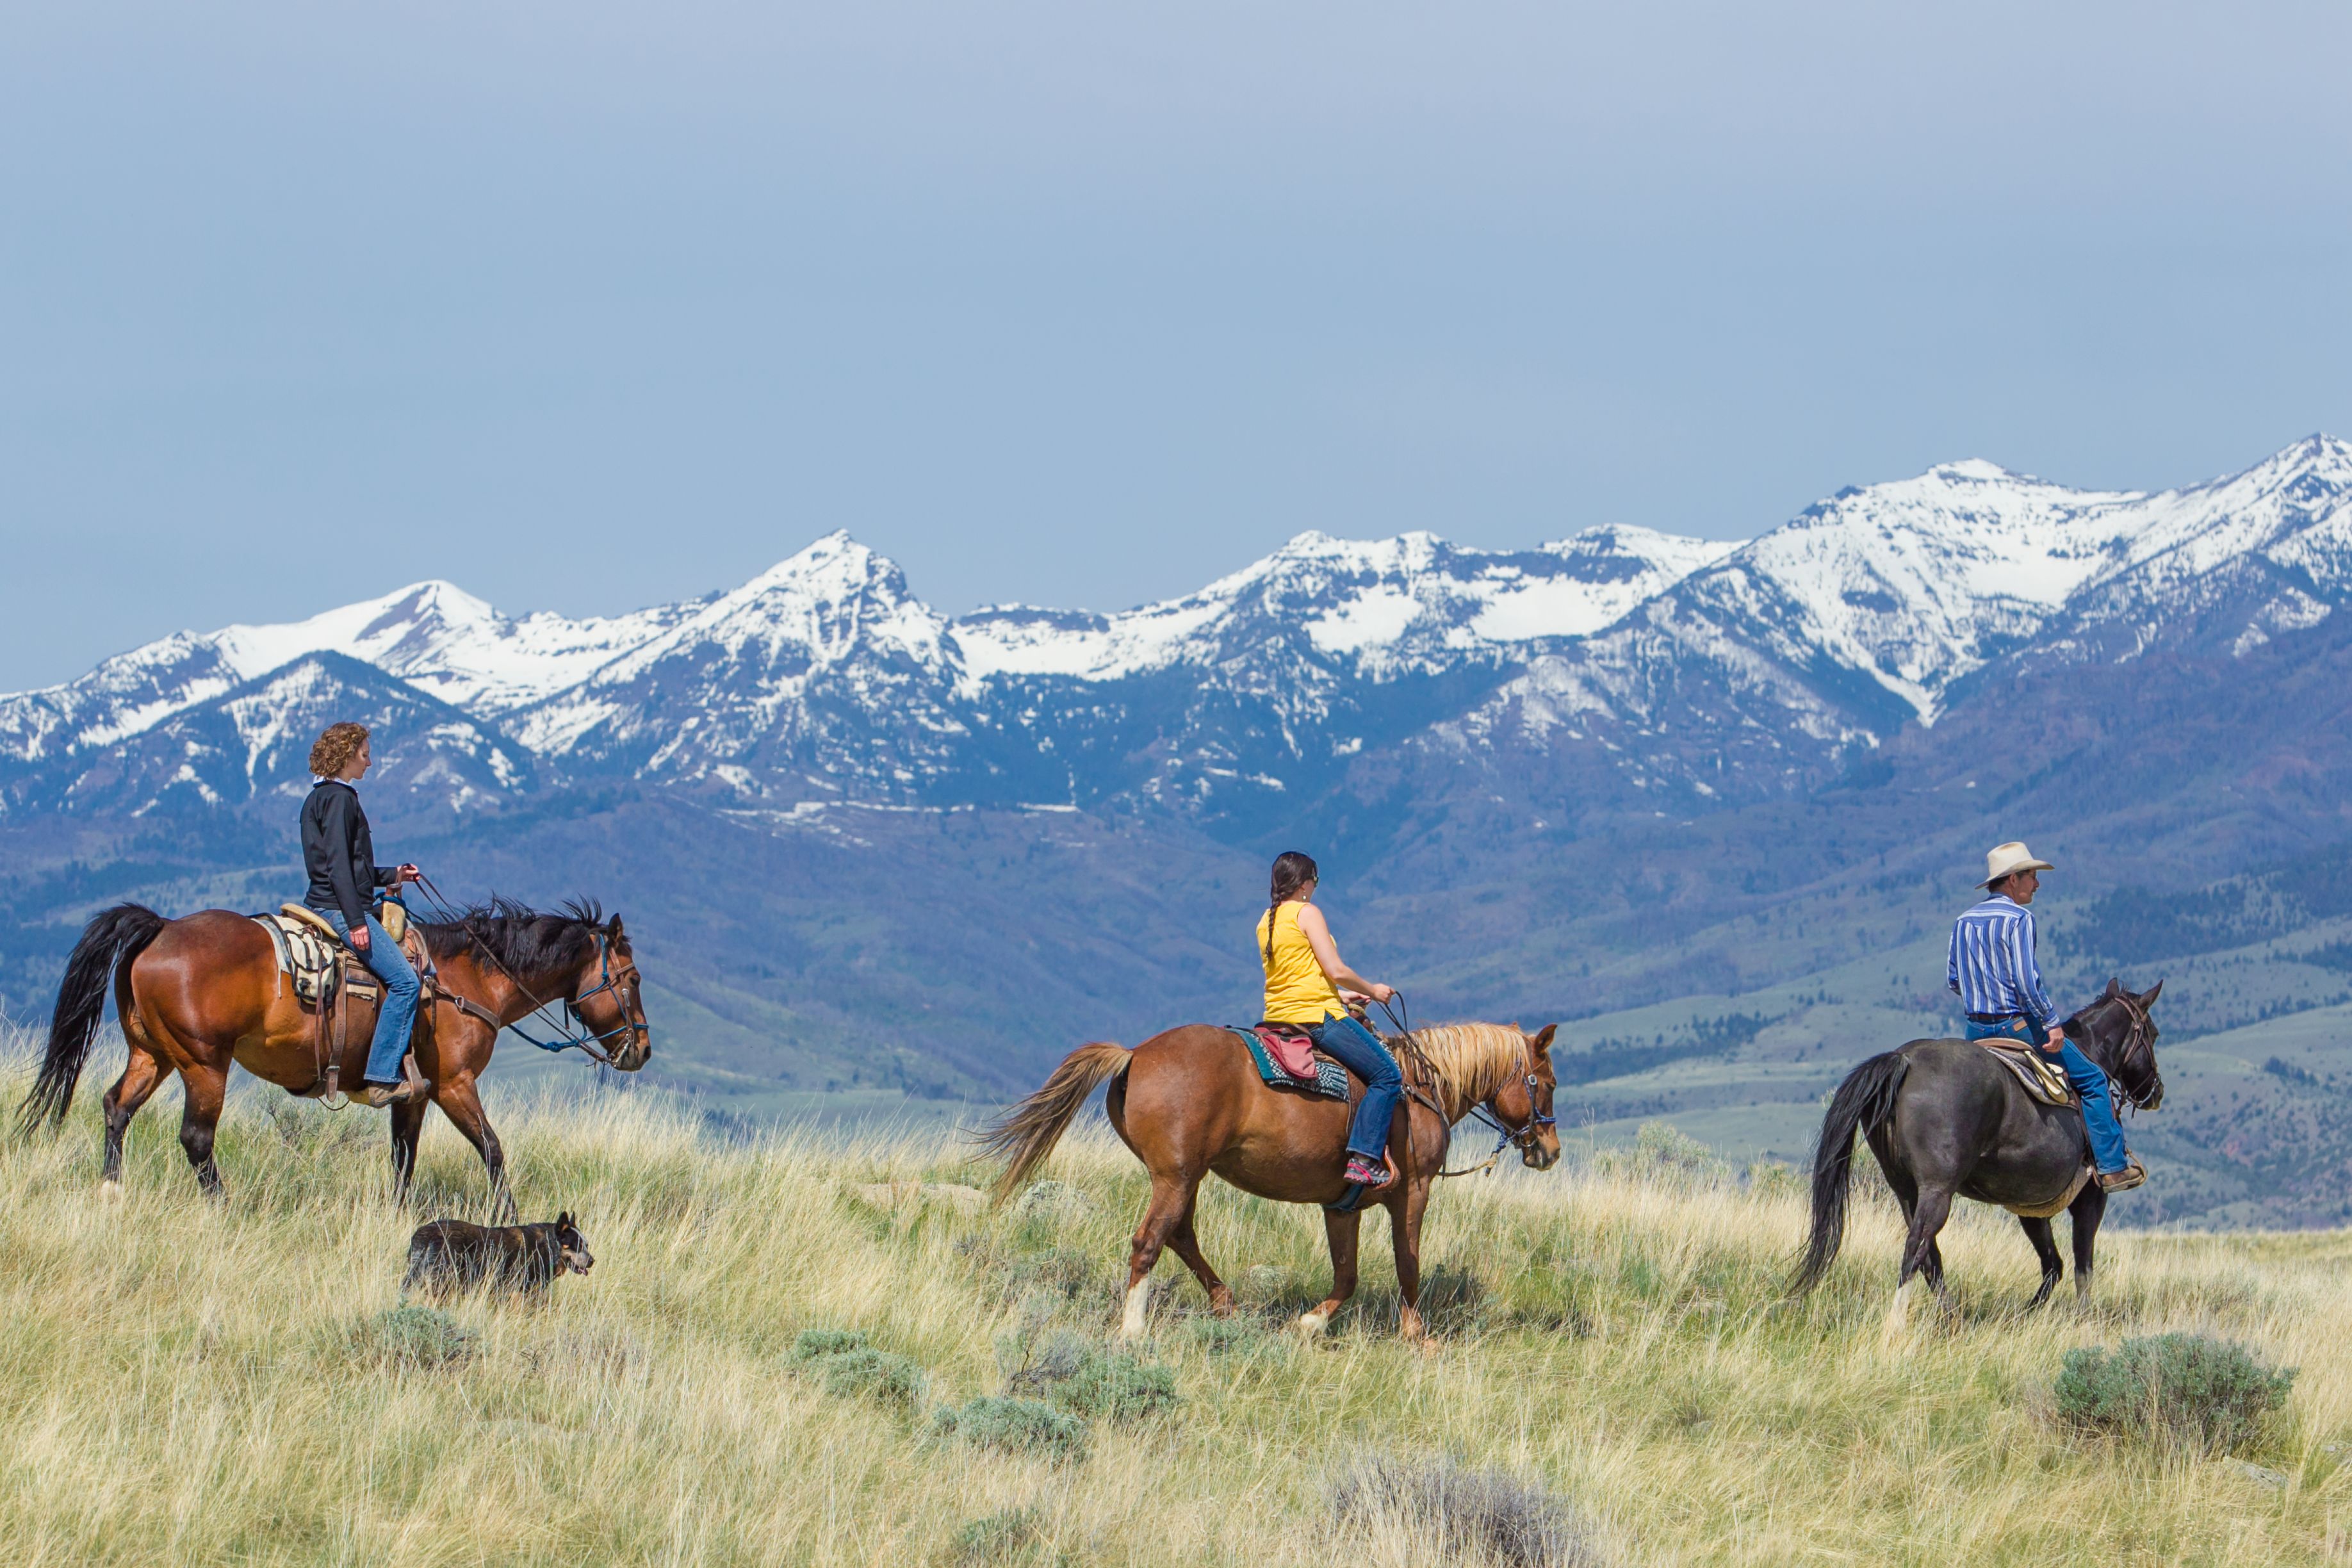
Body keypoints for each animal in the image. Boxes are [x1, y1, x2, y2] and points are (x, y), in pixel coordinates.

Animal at [20, 897, 651, 1215]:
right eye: (632, 978)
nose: (642, 1050)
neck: (465, 980)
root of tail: (162, 929)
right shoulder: (454, 1084)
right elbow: (493, 1150)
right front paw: (511, 1220)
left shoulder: (415, 1092)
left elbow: (403, 1157)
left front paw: (396, 1216)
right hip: (204, 1064)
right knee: (196, 1138)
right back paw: (226, 1208)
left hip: (155, 1056)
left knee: (116, 1107)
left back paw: (112, 1190)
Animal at [979, 1020, 1561, 1342]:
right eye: (1548, 1082)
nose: (1550, 1151)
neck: (1421, 1086)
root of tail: (1136, 1054)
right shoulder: (1413, 1190)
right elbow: (1409, 1265)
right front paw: (1417, 1336)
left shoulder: (1341, 1206)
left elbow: (1347, 1276)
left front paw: (1309, 1325)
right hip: (1175, 1176)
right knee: (1150, 1241)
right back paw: (1134, 1329)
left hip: (1184, 1176)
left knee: (1180, 1235)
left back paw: (1226, 1305)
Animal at [1791, 978, 2164, 1326]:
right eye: (2154, 1033)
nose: (2156, 1092)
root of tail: (1904, 1060)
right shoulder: (2091, 1197)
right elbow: (2082, 1267)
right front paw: (2082, 1321)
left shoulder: (2030, 1205)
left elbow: (2053, 1265)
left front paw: (2023, 1318)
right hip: (1937, 1190)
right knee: (1915, 1250)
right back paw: (1896, 1326)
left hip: (1905, 1190)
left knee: (1930, 1257)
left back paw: (1952, 1321)